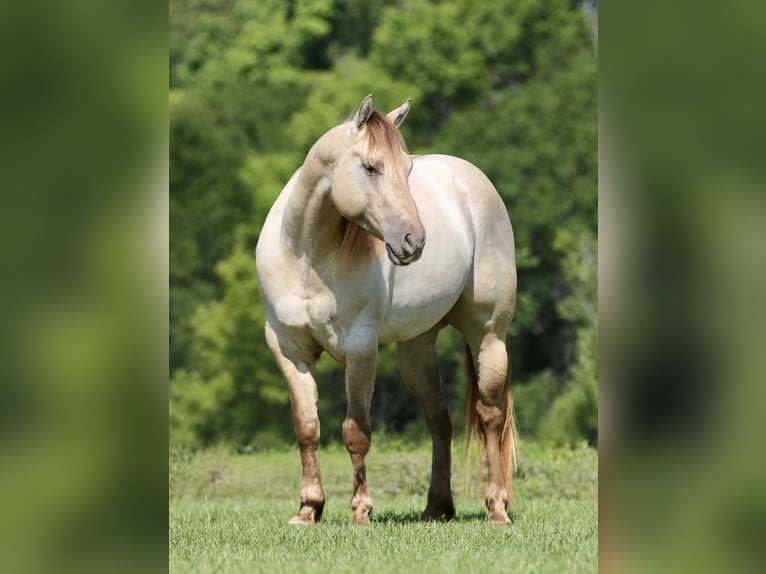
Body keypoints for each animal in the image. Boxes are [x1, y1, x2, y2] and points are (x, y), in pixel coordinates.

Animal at [255, 94, 517, 525]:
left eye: (407, 169)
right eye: (370, 167)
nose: (414, 241)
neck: (307, 257)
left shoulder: (360, 348)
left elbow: (356, 431)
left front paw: (361, 510)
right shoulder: (288, 349)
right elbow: (307, 427)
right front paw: (308, 509)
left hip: (489, 335)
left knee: (489, 415)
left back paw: (497, 509)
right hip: (416, 348)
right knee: (439, 417)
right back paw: (437, 507)